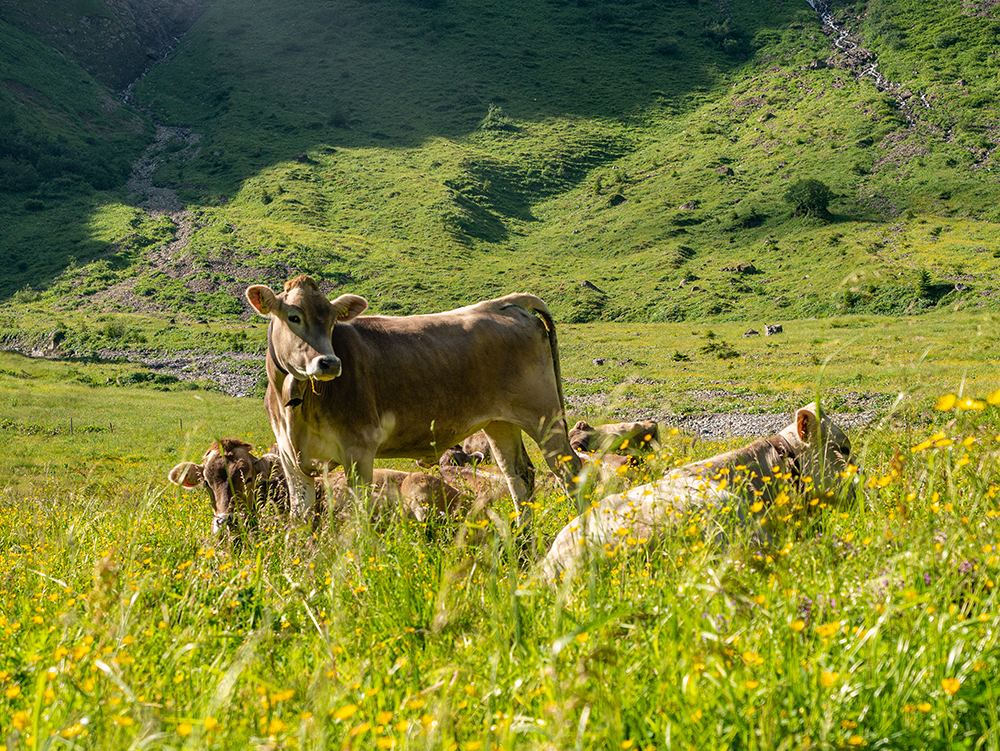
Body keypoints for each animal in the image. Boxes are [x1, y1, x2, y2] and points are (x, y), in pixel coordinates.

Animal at [245, 274, 584, 528]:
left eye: (331, 321)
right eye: (294, 317)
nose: (329, 363)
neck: (296, 407)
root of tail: (504, 304)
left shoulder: (359, 450)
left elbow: (358, 518)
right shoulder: (291, 460)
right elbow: (300, 519)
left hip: (543, 414)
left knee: (569, 469)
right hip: (499, 422)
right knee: (519, 474)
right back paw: (523, 537)